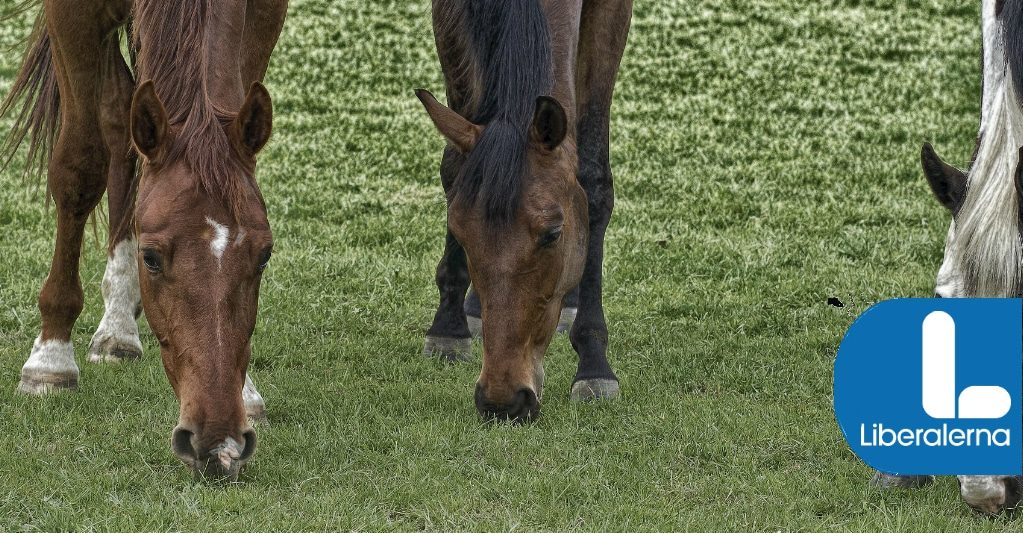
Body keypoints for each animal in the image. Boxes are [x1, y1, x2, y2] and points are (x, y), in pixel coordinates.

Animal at [1, 0, 288, 478]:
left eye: (264, 255)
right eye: (150, 257)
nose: (218, 441)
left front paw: (245, 390)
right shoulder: (70, 14)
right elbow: (80, 166)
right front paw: (51, 359)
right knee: (118, 118)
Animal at [415, 0, 630, 419]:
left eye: (553, 233)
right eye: (459, 231)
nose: (503, 400)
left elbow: (593, 179)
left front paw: (594, 363)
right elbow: (455, 165)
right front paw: (447, 326)